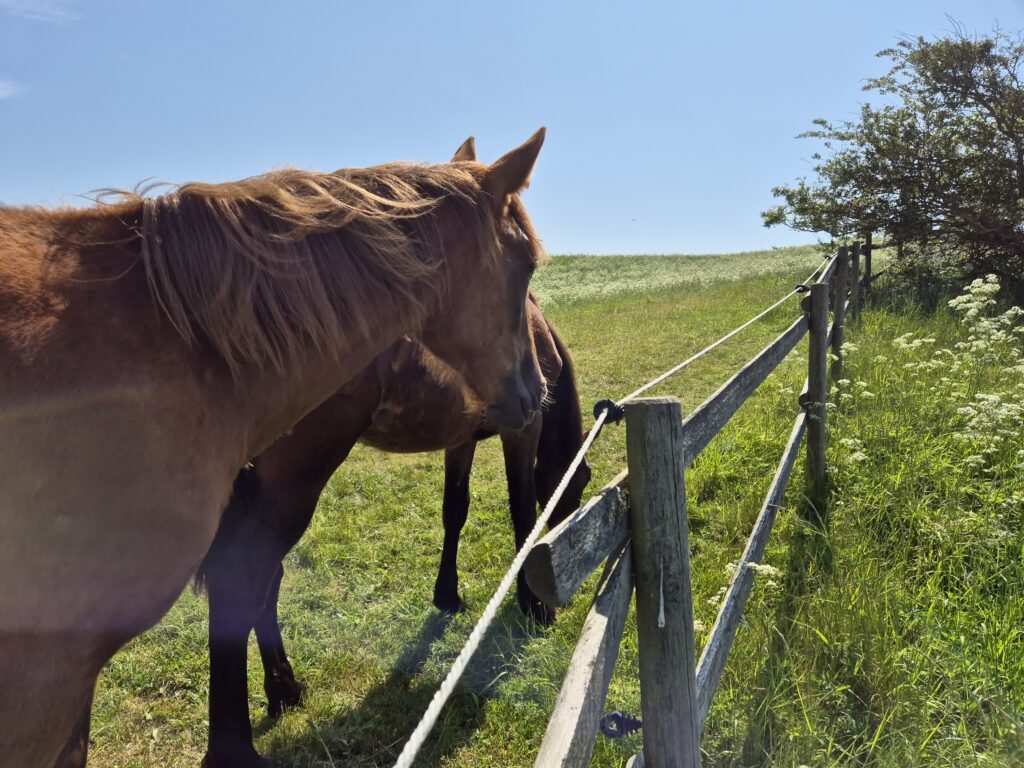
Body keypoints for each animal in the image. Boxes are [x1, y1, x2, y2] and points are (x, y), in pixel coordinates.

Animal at [193, 138, 593, 768]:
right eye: (572, 496)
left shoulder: (462, 440)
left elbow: (455, 511)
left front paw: (447, 594)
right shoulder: (521, 432)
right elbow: (522, 509)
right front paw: (533, 604)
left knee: (263, 580)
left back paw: (283, 687)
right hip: (296, 477)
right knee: (249, 577)